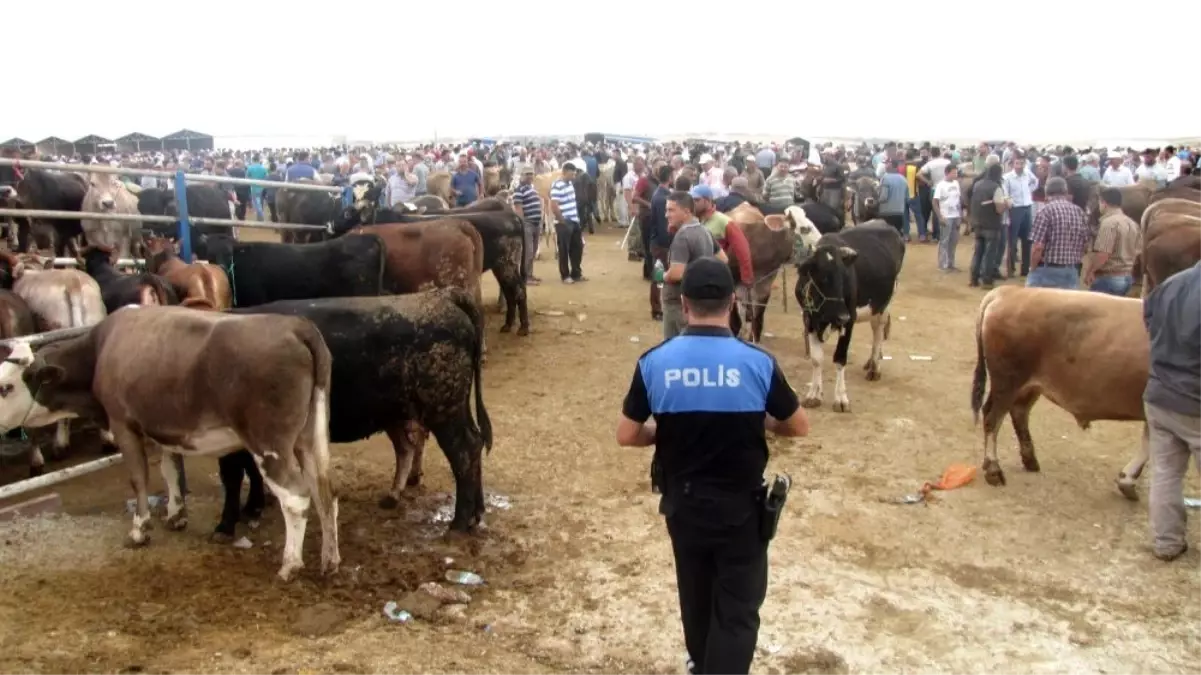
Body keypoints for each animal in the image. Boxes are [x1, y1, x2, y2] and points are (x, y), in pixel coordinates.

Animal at [0, 306, 341, 578]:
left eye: (6, 386)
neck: (100, 352)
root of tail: (295, 325)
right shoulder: (162, 428)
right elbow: (170, 470)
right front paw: (176, 514)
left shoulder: (124, 424)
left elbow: (139, 478)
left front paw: (139, 530)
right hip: (308, 437)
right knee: (325, 490)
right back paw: (330, 560)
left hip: (268, 442)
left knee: (296, 497)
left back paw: (290, 564)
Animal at [218, 289, 490, 535]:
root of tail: (442, 297)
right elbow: (250, 470)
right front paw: (252, 508)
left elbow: (232, 475)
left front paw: (226, 523)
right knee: (460, 444)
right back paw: (472, 514)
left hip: (444, 410)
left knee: (464, 452)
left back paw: (459, 523)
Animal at [792, 220, 903, 410]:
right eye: (823, 277)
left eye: (845, 277)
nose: (842, 316)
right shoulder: (809, 320)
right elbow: (816, 359)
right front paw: (814, 394)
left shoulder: (850, 319)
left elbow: (840, 358)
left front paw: (841, 398)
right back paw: (870, 362)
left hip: (885, 302)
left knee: (878, 331)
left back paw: (875, 367)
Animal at [970, 285, 1148, 497]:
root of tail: (1010, 291)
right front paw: (1128, 481)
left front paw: (1127, 480)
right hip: (1007, 380)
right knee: (992, 417)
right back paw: (993, 470)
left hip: (1028, 385)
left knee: (1019, 411)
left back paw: (1030, 459)